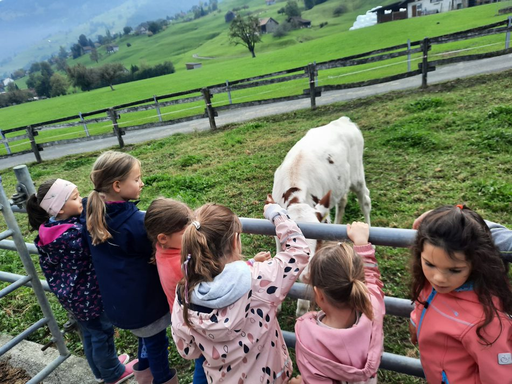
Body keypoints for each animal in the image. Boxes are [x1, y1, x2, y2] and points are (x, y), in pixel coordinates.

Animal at [272, 115, 372, 316]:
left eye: (315, 241)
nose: (305, 273)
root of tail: (342, 120)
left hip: (357, 174)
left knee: (364, 199)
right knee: (342, 201)